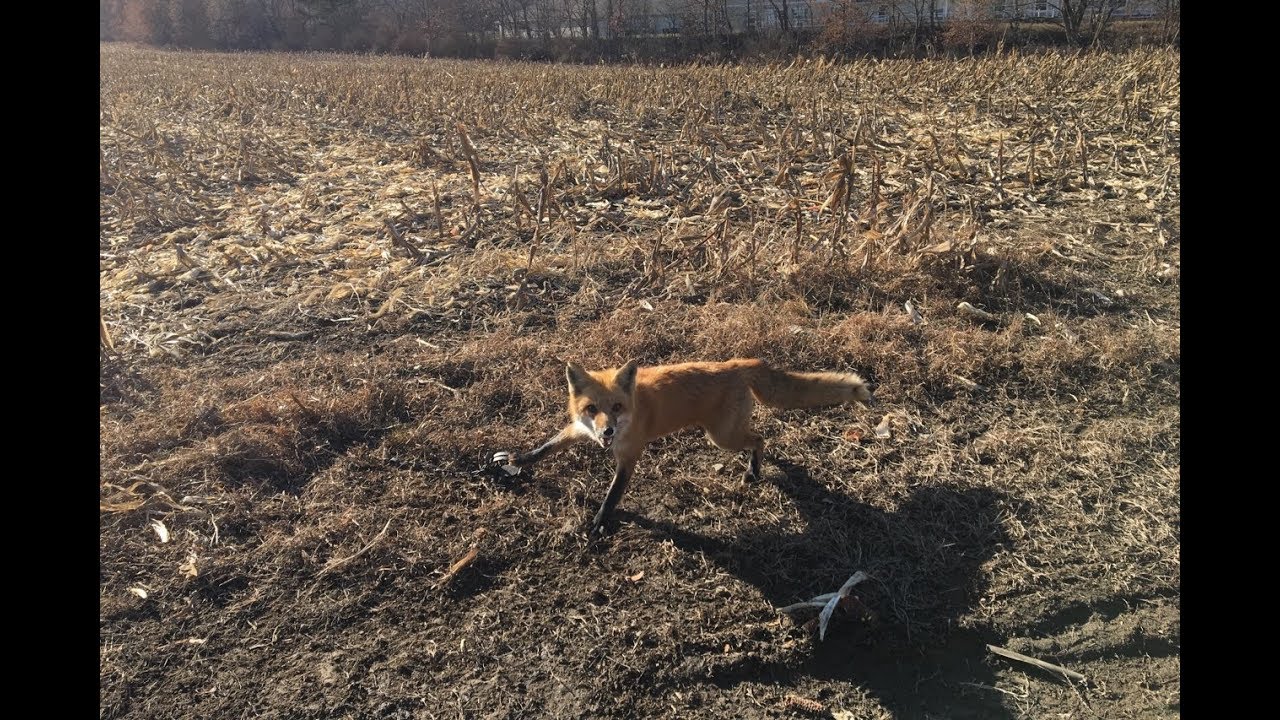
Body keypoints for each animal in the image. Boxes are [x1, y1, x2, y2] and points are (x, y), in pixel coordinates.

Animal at [488, 356, 870, 535]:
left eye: (618, 407)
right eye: (591, 409)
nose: (607, 432)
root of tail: (737, 363)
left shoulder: (629, 456)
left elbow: (612, 495)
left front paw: (599, 521)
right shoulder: (580, 430)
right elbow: (543, 450)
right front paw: (515, 461)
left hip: (721, 437)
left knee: (761, 438)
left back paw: (754, 471)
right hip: (725, 434)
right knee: (760, 438)